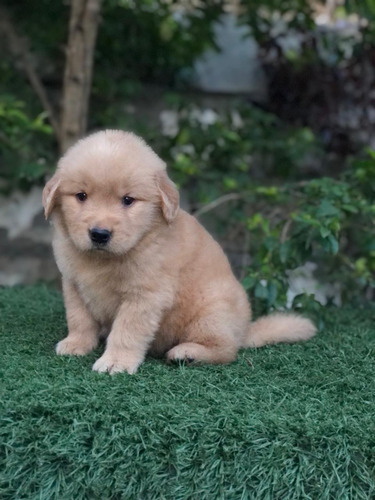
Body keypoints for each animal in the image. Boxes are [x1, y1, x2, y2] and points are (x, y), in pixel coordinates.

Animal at [42, 131, 316, 374]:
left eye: (128, 200)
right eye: (81, 196)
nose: (99, 234)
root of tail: (244, 331)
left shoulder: (145, 295)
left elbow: (126, 331)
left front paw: (115, 361)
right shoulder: (74, 285)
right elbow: (79, 319)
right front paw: (77, 343)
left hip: (211, 312)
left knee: (227, 350)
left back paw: (187, 353)